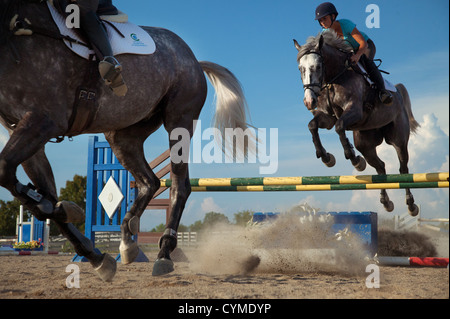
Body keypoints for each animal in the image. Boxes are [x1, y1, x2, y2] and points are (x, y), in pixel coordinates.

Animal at [0, 0, 251, 282]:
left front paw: (62, 209)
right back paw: (128, 242)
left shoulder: (42, 121)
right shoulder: (23, 129)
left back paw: (164, 253)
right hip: (122, 135)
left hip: (180, 120)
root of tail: (194, 60)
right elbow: (29, 185)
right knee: (150, 182)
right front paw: (95, 255)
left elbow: (6, 172)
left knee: (179, 185)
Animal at [296, 31, 422, 218]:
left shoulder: (354, 111)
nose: (309, 101)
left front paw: (354, 159)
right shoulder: (327, 117)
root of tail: (397, 92)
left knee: (403, 169)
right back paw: (386, 202)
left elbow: (340, 127)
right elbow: (313, 126)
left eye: (318, 67)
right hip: (365, 144)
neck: (334, 78)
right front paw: (327, 158)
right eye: (300, 69)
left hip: (398, 138)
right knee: (381, 168)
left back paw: (411, 205)